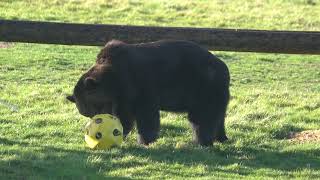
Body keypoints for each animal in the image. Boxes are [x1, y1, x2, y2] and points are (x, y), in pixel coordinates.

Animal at [66, 39, 229, 146]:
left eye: (95, 107)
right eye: (87, 113)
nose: (99, 122)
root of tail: (222, 66)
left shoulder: (139, 84)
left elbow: (144, 114)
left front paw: (144, 140)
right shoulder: (123, 95)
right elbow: (127, 115)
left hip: (202, 86)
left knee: (202, 117)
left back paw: (202, 141)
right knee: (218, 116)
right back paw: (221, 137)